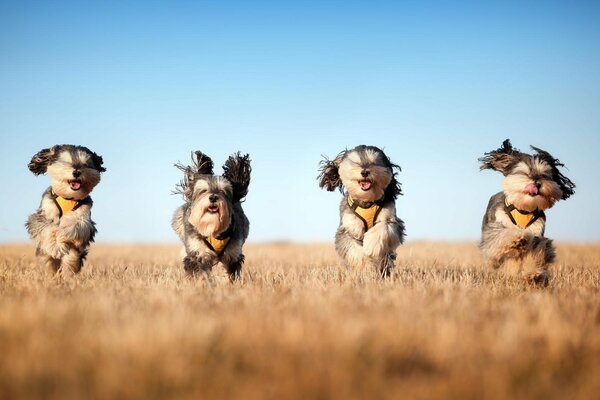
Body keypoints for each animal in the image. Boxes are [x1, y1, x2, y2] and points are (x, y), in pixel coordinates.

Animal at [25, 145, 106, 276]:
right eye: (65, 162)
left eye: (85, 164)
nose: (76, 172)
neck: (69, 197)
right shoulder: (42, 214)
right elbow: (49, 228)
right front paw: (55, 245)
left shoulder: (84, 218)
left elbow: (74, 224)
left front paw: (63, 233)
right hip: (44, 254)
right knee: (49, 260)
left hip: (74, 254)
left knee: (71, 259)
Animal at [171, 151, 251, 282]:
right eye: (203, 190)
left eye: (224, 191)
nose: (213, 197)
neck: (212, 227)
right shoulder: (197, 253)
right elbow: (200, 272)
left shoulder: (233, 255)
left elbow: (232, 274)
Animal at [316, 145, 406, 278]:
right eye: (355, 162)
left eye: (374, 162)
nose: (364, 172)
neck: (367, 201)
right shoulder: (347, 228)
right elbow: (354, 250)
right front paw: (366, 268)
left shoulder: (392, 220)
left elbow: (384, 226)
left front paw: (371, 246)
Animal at [480, 139, 576, 286]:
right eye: (524, 172)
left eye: (544, 174)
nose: (537, 183)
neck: (523, 209)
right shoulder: (497, 226)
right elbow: (503, 235)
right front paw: (517, 238)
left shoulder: (537, 234)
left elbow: (535, 253)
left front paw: (533, 274)